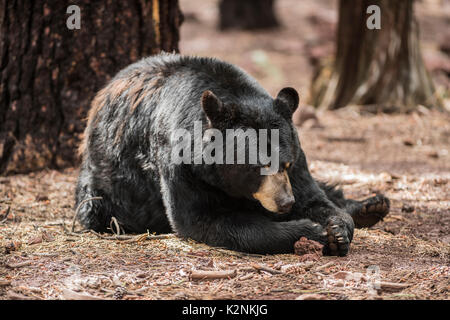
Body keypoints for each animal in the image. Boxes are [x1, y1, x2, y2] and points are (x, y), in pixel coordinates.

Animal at [75, 53, 388, 256]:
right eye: (258, 166)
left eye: (285, 163)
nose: (286, 203)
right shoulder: (180, 162)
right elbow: (203, 219)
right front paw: (312, 231)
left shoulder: (297, 153)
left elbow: (313, 197)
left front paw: (337, 227)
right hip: (102, 187)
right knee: (93, 208)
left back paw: (371, 206)